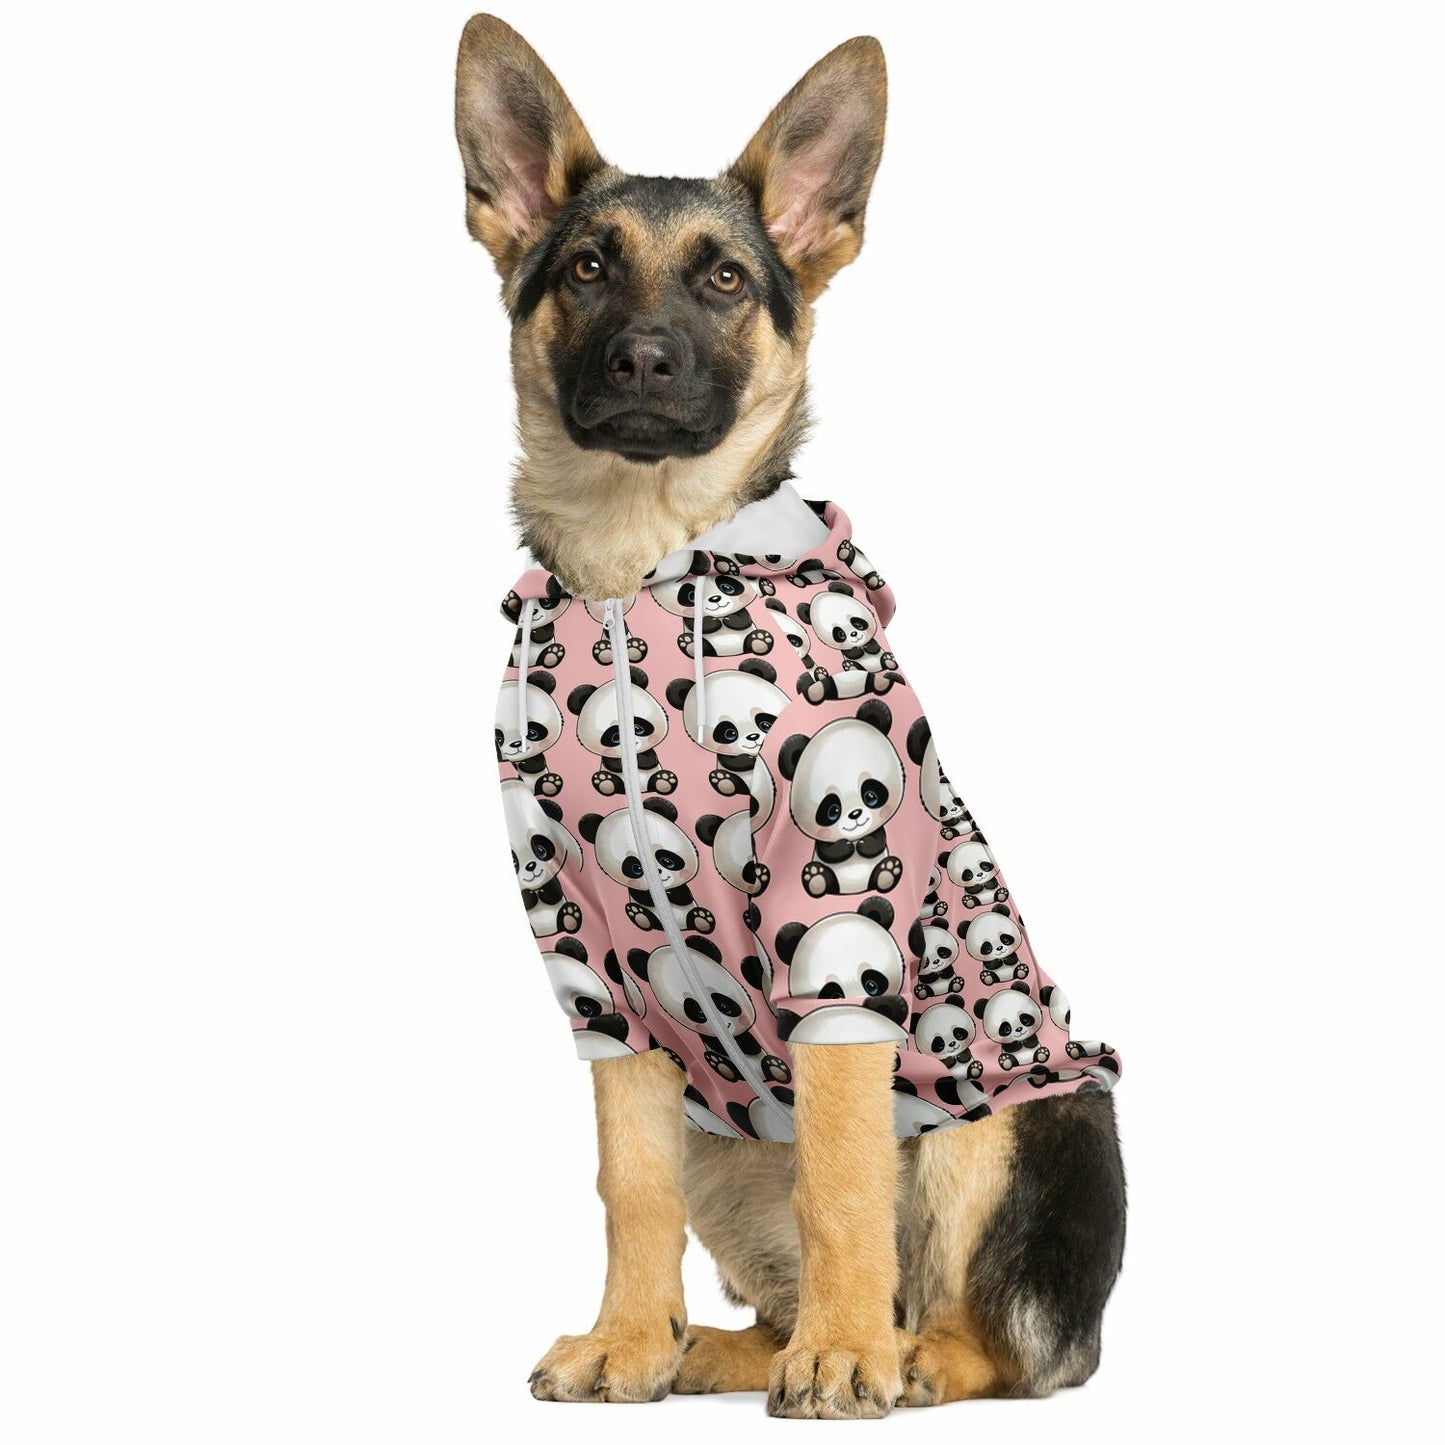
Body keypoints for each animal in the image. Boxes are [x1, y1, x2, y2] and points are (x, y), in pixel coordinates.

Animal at [567, 666, 676, 796]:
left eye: (637, 728)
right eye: (615, 737)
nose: (633, 743)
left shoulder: (648, 752)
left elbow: (650, 758)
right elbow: (612, 762)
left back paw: (664, 779)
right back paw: (604, 781)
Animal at [579, 799, 715, 934]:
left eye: (667, 861)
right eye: (636, 869)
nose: (657, 871)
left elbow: (683, 896)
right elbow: (641, 896)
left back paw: (701, 917)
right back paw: (638, 914)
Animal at [626, 937, 789, 1086]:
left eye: (723, 1005)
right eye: (699, 1013)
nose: (724, 1025)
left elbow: (749, 1043)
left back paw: (775, 1067)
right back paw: (720, 1064)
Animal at [776, 699, 904, 897]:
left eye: (871, 796)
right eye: (832, 811)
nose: (855, 814)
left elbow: (878, 838)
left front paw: (864, 843)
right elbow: (827, 849)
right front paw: (846, 846)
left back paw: (887, 871)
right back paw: (816, 877)